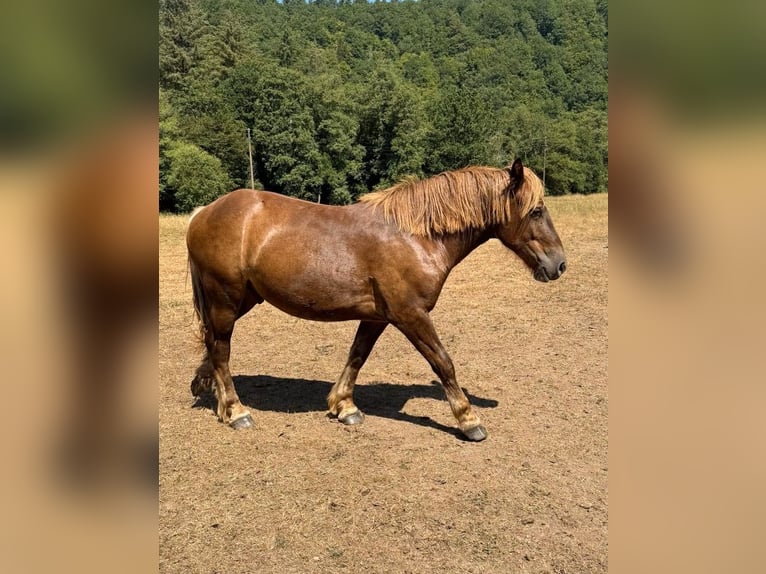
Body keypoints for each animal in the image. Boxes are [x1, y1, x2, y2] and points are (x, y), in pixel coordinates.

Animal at [186, 159, 566, 441]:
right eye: (536, 211)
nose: (559, 264)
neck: (417, 237)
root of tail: (204, 212)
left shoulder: (377, 317)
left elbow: (357, 356)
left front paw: (345, 407)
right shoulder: (411, 315)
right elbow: (443, 362)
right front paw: (469, 420)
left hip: (243, 299)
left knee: (212, 346)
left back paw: (213, 394)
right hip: (225, 299)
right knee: (221, 350)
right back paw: (236, 411)